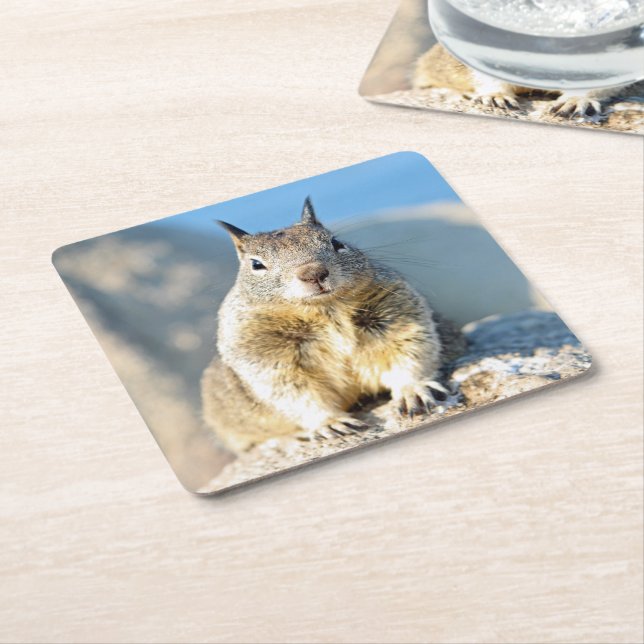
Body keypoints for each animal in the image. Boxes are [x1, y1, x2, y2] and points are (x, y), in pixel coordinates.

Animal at [201, 197, 465, 453]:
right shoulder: (264, 355)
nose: (314, 273)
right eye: (256, 264)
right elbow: (293, 393)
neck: (325, 311)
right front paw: (330, 423)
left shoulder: (397, 314)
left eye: (336, 242)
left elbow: (409, 352)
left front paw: (413, 390)